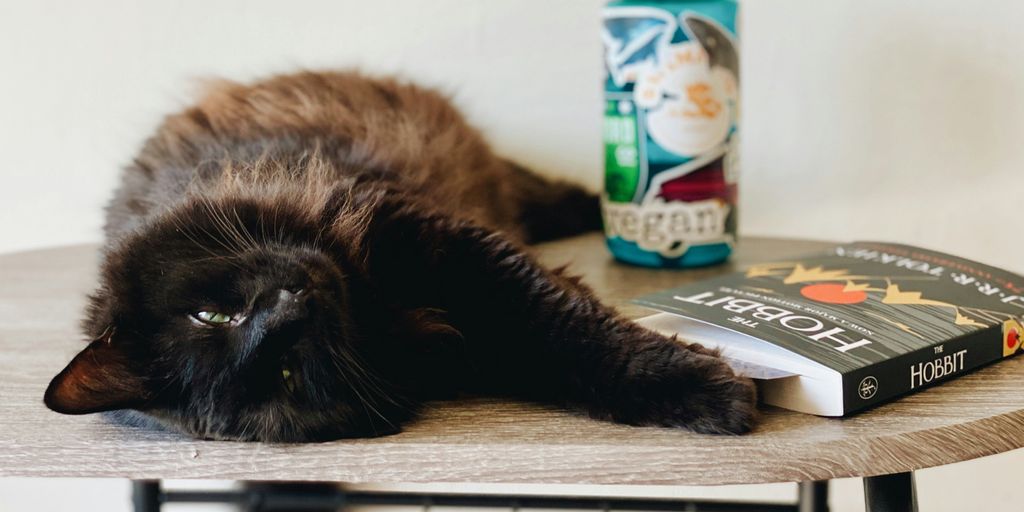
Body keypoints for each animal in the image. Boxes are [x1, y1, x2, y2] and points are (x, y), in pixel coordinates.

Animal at [44, 71, 757, 440]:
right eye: (286, 373)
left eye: (212, 315)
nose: (291, 307)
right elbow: (560, 351)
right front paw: (706, 391)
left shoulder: (438, 239)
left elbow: (570, 329)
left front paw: (711, 387)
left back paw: (603, 209)